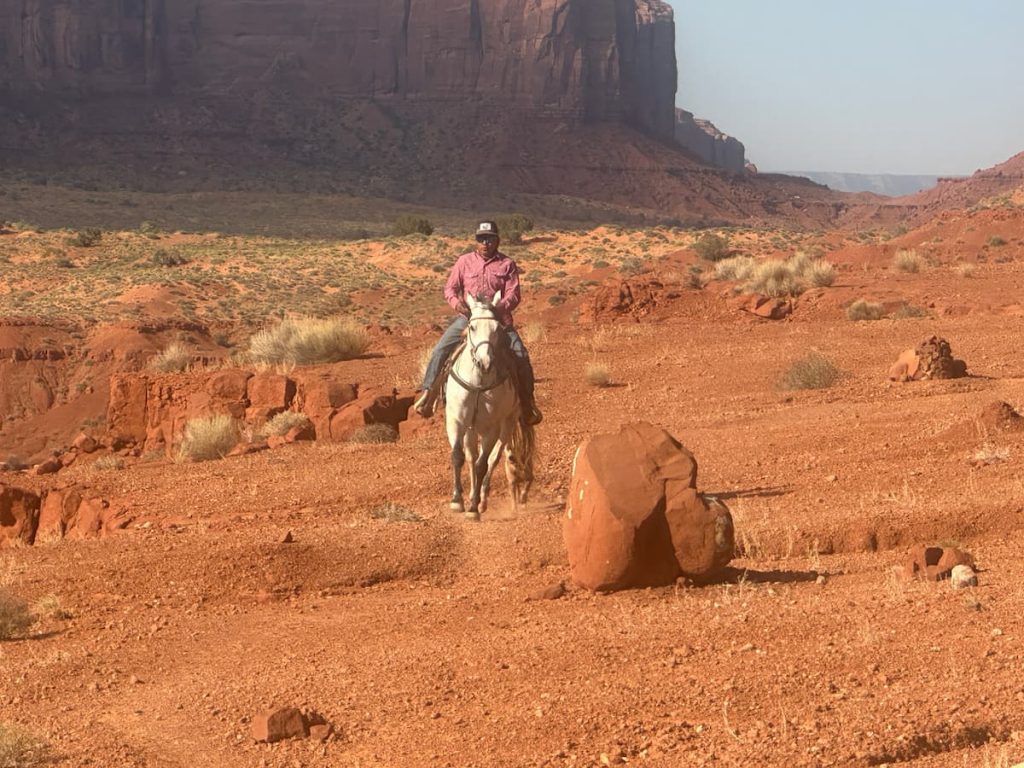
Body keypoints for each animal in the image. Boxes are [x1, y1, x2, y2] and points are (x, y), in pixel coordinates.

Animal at [444, 291, 535, 521]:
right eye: (472, 326)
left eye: (497, 329)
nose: (484, 362)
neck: (478, 382)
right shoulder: (456, 420)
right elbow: (458, 456)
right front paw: (457, 500)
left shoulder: (491, 428)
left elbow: (482, 464)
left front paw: (474, 507)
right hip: (471, 427)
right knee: (469, 456)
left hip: (507, 424)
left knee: (493, 459)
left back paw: (482, 499)